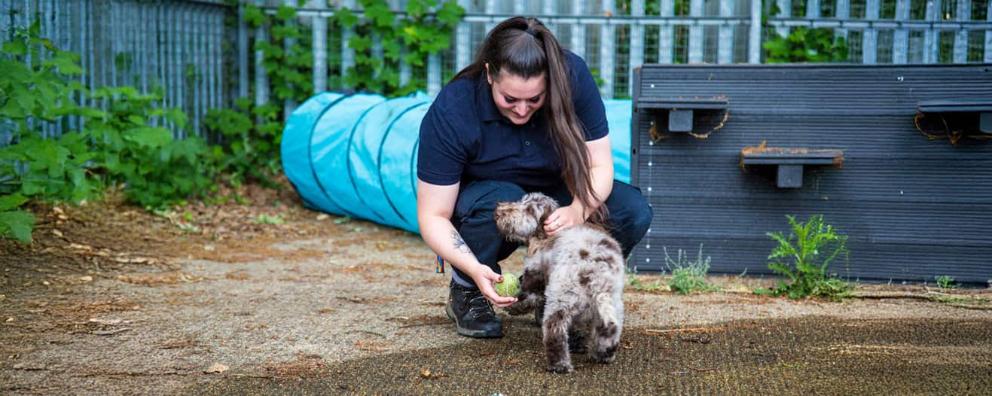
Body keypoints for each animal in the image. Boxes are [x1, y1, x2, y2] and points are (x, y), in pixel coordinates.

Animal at [494, 193, 624, 372]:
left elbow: (527, 294)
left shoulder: (535, 271)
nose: (499, 210)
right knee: (609, 329)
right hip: (612, 306)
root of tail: (596, 276)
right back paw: (603, 354)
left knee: (554, 331)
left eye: (529, 210)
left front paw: (513, 306)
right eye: (522, 201)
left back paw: (559, 365)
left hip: (560, 299)